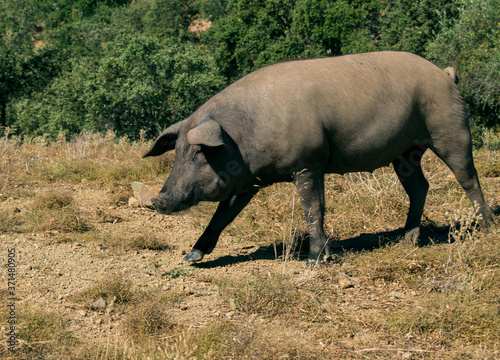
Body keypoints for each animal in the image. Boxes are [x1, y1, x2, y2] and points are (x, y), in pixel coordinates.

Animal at [143, 50, 494, 264]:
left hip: (450, 128)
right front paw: (192, 257)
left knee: (468, 177)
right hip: (405, 152)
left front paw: (314, 260)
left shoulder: (308, 163)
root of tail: (446, 74)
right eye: (177, 153)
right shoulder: (246, 181)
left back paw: (488, 227)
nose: (158, 200)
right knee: (419, 187)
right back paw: (407, 241)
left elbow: (313, 208)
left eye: (200, 153)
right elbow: (222, 216)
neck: (243, 134)